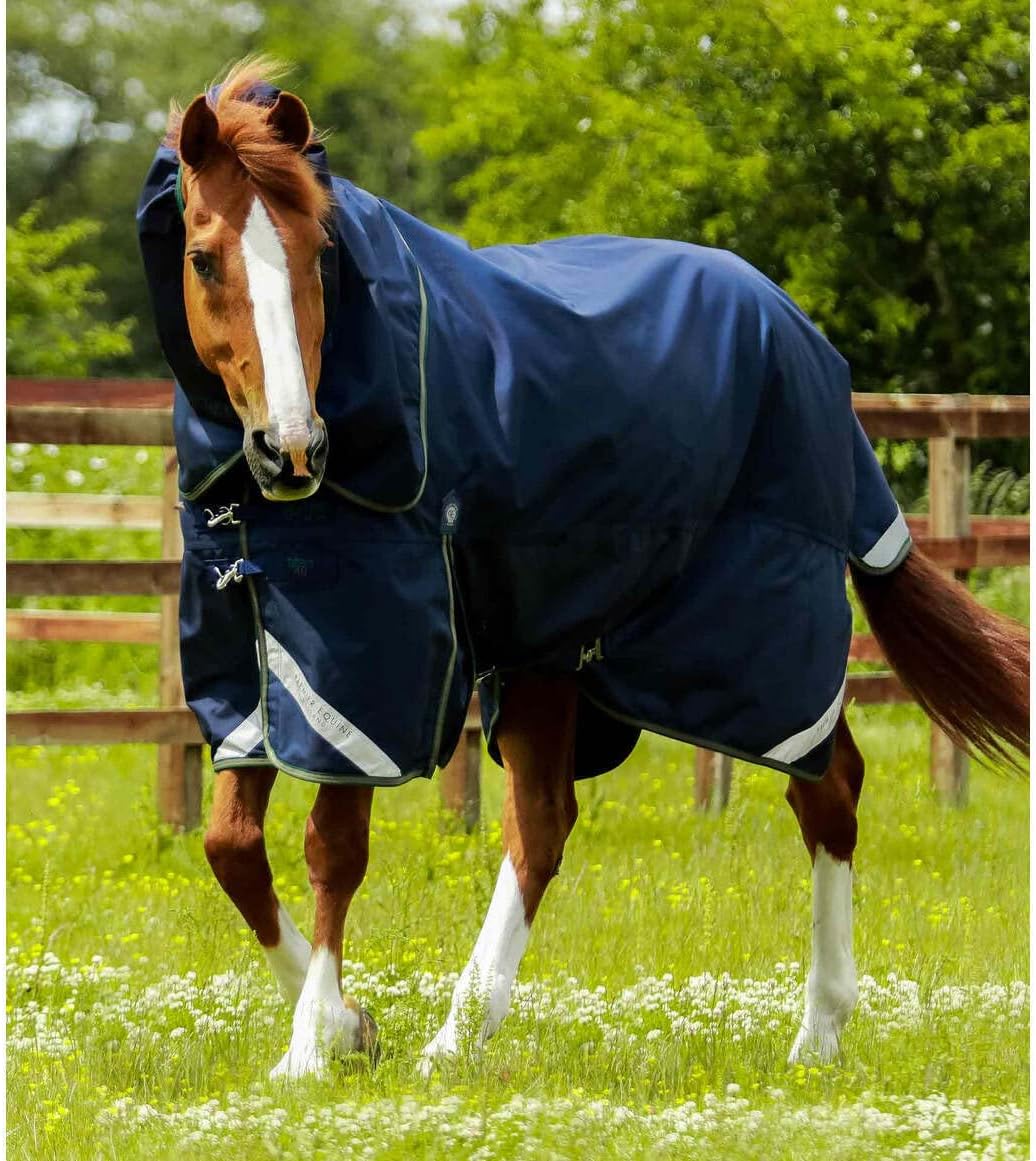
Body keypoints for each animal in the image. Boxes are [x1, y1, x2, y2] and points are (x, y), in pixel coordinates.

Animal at [137, 60, 1029, 1081]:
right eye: (205, 258)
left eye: (316, 249)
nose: (292, 448)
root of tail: (806, 342)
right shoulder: (255, 662)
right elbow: (231, 845)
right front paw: (349, 1025)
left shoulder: (370, 669)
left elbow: (334, 846)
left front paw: (311, 1044)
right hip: (554, 649)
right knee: (546, 822)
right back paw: (466, 1034)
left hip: (752, 635)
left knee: (826, 786)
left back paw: (811, 1033)